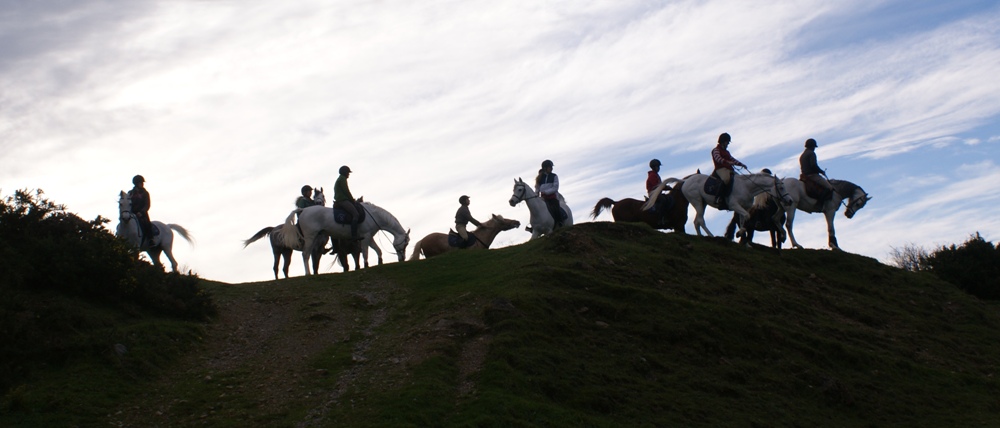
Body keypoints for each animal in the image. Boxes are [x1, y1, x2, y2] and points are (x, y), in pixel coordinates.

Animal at [280, 200, 408, 274]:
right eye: (406, 243)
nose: (402, 258)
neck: (373, 215)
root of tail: (303, 210)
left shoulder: (369, 237)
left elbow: (378, 250)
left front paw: (380, 262)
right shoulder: (365, 237)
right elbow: (365, 253)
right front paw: (366, 266)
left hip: (315, 238)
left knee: (310, 254)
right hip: (310, 237)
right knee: (305, 254)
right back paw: (308, 273)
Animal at [644, 170, 792, 241]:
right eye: (781, 187)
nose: (790, 201)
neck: (747, 187)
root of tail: (685, 181)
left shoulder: (743, 207)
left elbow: (743, 219)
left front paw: (741, 234)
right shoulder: (734, 205)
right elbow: (746, 217)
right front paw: (740, 232)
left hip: (702, 203)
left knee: (697, 221)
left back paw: (701, 236)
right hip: (697, 201)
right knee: (700, 220)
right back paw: (710, 235)